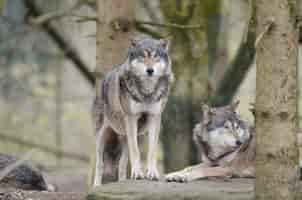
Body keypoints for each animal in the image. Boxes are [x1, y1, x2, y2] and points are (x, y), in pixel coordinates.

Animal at [92, 36, 175, 186]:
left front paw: (152, 173)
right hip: (102, 138)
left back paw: (123, 181)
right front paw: (137, 174)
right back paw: (96, 186)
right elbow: (136, 152)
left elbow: (152, 151)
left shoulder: (155, 117)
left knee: (122, 164)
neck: (147, 92)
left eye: (156, 57)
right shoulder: (131, 118)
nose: (150, 70)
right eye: (142, 56)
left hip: (131, 137)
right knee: (100, 165)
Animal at [165, 102, 302, 182]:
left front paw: (184, 177)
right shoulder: (212, 163)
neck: (218, 152)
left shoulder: (228, 168)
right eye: (226, 127)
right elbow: (189, 167)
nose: (240, 142)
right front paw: (174, 174)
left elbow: (201, 171)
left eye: (236, 127)